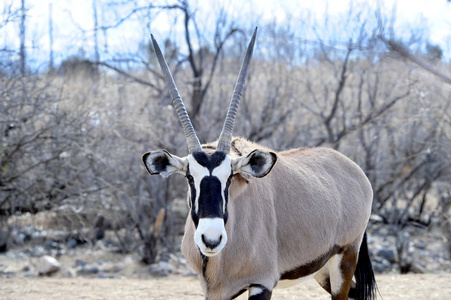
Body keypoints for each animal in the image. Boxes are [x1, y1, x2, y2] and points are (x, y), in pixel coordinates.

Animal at [144, 28, 378, 300]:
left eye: (230, 178)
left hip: (345, 257)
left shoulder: (261, 283)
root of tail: (356, 171)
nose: (211, 240)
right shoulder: (215, 291)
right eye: (190, 177)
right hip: (322, 270)